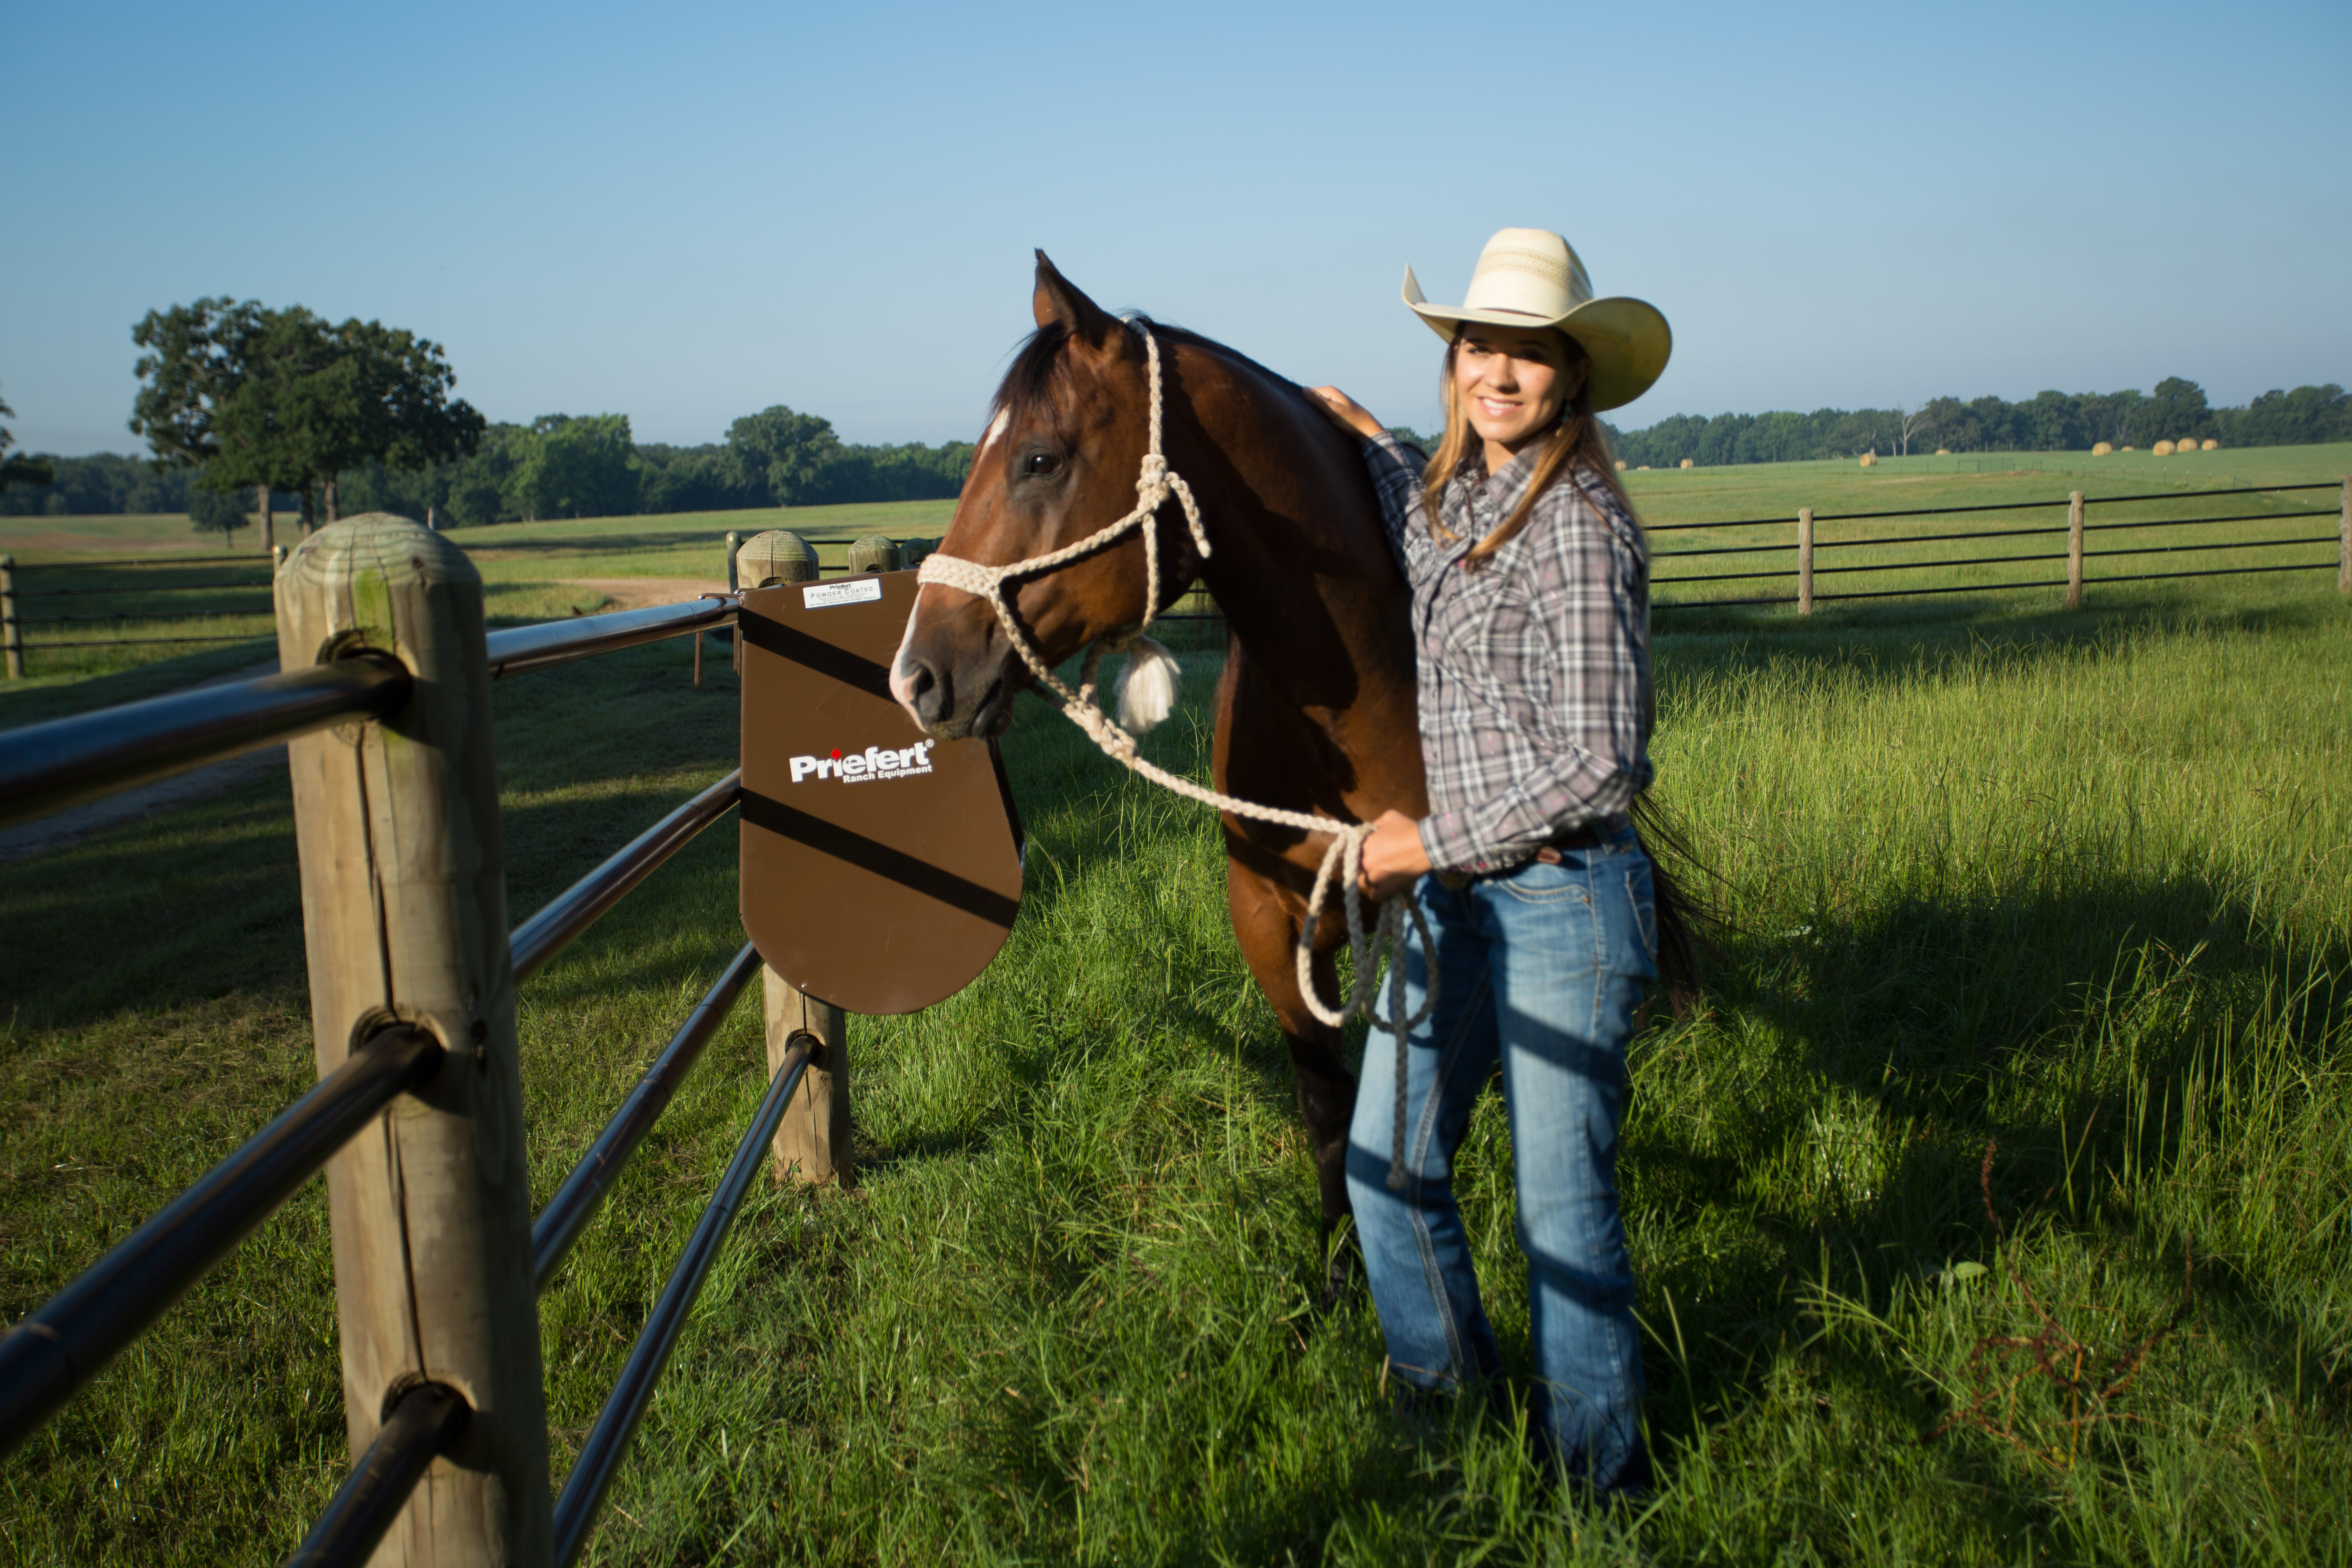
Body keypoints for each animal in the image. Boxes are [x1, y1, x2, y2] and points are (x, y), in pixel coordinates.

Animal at [892, 253, 1695, 1293]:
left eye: (1038, 459)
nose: (915, 676)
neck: (1363, 695)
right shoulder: (1270, 915)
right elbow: (1325, 1102)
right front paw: (1340, 1264)